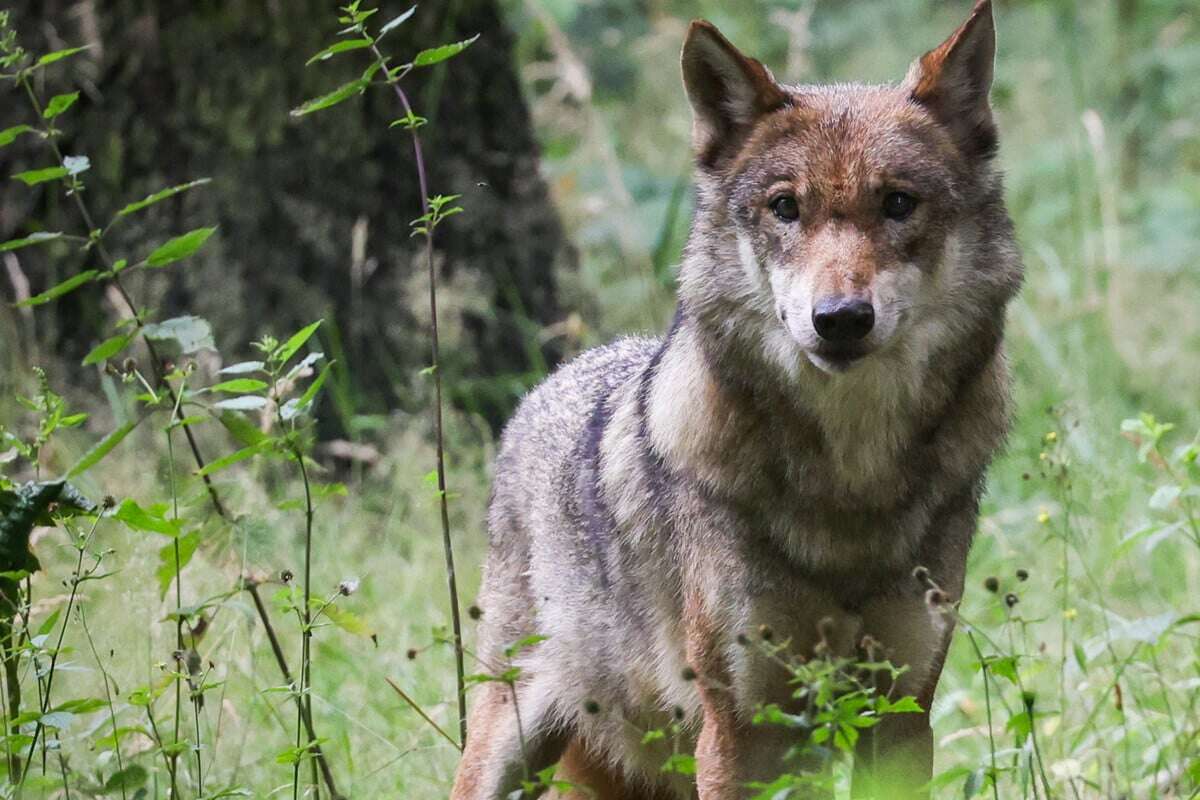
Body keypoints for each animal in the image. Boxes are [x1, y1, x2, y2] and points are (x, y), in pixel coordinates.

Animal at [451, 3, 1022, 796]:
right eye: (785, 208)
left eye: (898, 203)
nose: (839, 318)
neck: (851, 485)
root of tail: (547, 386)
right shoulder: (742, 730)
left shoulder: (901, 715)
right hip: (507, 742)